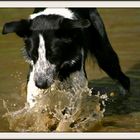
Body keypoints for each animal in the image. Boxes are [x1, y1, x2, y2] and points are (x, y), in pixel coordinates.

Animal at [1, 8, 130, 107]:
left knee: (124, 79)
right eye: (33, 55)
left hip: (104, 55)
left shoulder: (77, 81)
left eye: (54, 55)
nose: (41, 84)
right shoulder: (34, 77)